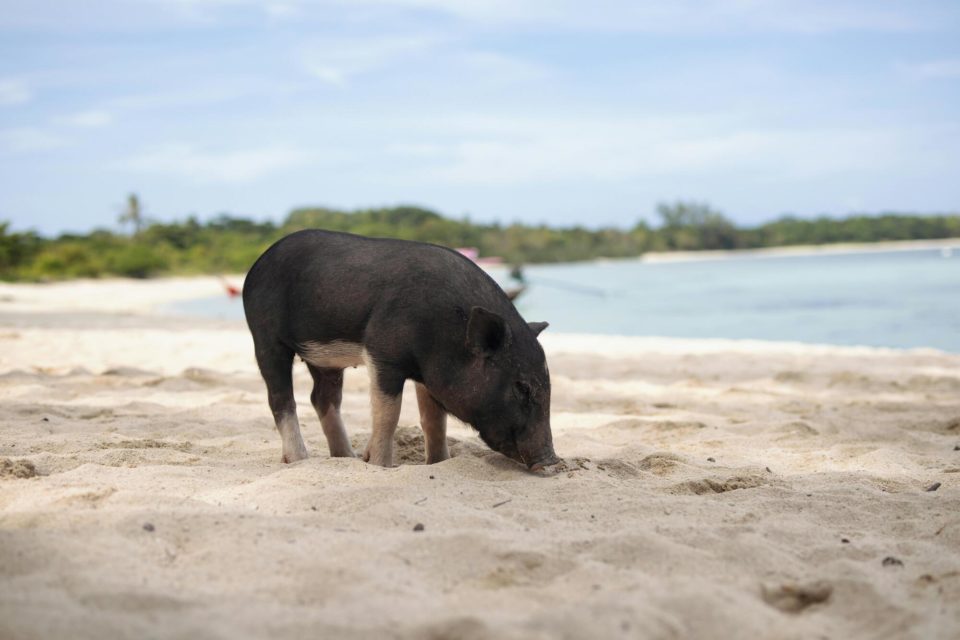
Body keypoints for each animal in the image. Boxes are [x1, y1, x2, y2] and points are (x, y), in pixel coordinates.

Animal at [242, 229, 560, 471]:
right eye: (522, 387)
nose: (551, 460)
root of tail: (256, 265)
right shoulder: (382, 353)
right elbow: (388, 415)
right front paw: (380, 466)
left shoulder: (428, 375)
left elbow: (434, 420)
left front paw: (439, 463)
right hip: (265, 336)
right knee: (281, 398)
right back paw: (300, 459)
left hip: (325, 361)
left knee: (322, 398)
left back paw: (347, 457)